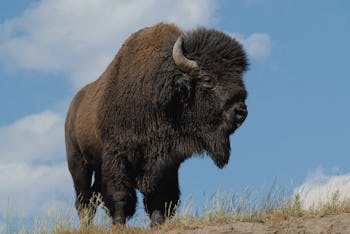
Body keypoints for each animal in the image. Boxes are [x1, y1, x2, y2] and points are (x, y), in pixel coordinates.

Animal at [64, 22, 247, 226]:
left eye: (239, 76)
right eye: (208, 79)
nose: (241, 111)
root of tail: (73, 107)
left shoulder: (166, 160)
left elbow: (161, 193)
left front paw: (157, 222)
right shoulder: (117, 154)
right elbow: (120, 192)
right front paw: (119, 223)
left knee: (94, 196)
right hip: (78, 164)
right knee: (84, 199)